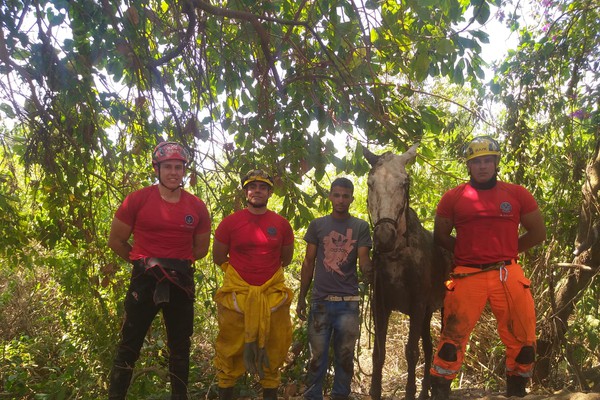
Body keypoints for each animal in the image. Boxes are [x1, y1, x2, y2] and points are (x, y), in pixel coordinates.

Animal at [360, 145, 450, 400]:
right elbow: (378, 353)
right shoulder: (380, 304)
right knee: (429, 347)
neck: (397, 255)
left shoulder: (417, 304)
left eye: (405, 182)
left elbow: (411, 352)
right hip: (428, 313)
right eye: (370, 183)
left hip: (443, 307)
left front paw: (410, 392)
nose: (384, 237)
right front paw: (375, 391)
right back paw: (426, 390)